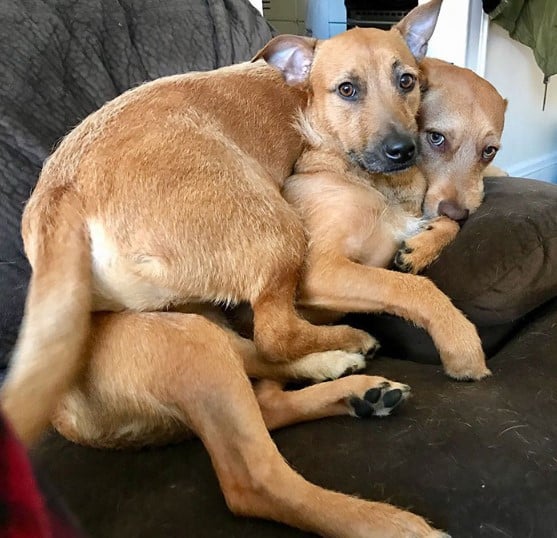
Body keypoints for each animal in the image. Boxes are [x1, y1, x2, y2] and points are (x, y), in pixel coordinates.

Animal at [1, 2, 504, 532]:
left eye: (407, 81)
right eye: (347, 90)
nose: (401, 151)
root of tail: (59, 192)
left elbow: (436, 229)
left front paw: (426, 244)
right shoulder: (322, 268)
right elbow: (413, 289)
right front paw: (460, 343)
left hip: (194, 324)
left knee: (265, 382)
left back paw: (345, 378)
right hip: (259, 249)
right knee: (259, 460)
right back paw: (385, 513)